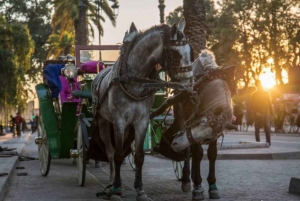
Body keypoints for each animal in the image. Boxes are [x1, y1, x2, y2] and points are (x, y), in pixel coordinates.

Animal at [91, 18, 192, 200]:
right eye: (175, 54)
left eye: (190, 51)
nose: (188, 86)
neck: (134, 80)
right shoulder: (119, 121)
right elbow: (117, 154)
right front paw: (117, 188)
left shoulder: (141, 121)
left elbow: (138, 156)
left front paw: (139, 189)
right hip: (103, 121)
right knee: (110, 151)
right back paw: (111, 181)